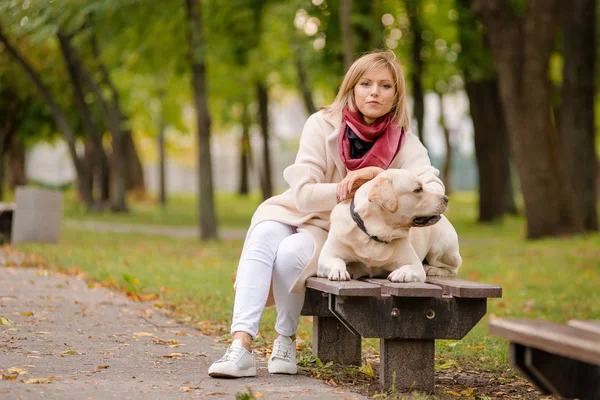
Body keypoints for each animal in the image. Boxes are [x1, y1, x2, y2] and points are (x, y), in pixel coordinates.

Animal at [318, 168, 460, 282]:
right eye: (418, 189)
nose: (446, 198)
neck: (375, 233)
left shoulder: (414, 265)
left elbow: (409, 268)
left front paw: (401, 273)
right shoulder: (326, 257)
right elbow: (337, 261)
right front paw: (339, 271)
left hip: (440, 248)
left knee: (452, 268)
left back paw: (431, 269)